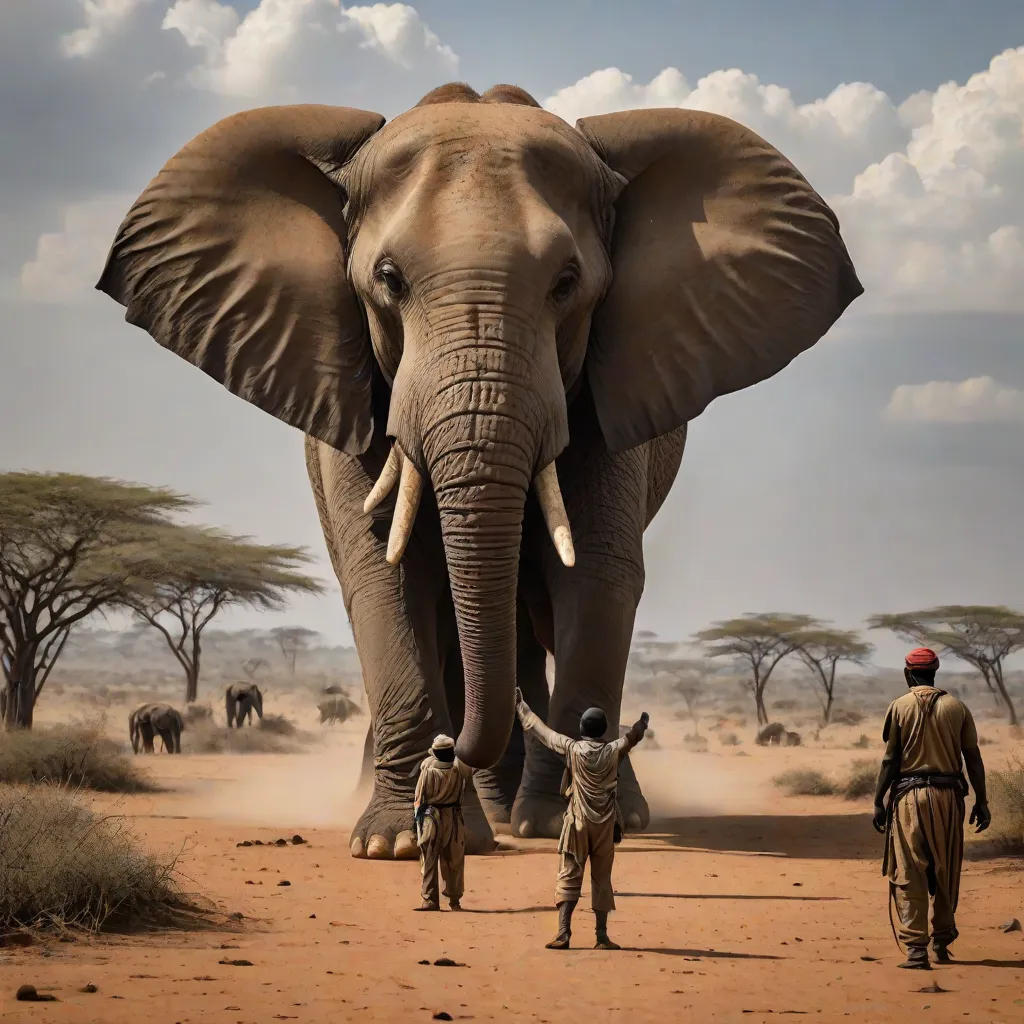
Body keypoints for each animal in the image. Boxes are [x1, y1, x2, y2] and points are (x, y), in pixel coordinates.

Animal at [97, 81, 861, 859]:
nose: (452, 751)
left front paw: (556, 822)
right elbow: (388, 576)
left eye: (566, 283)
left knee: (535, 622)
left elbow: (596, 574)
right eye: (388, 280)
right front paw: (397, 843)